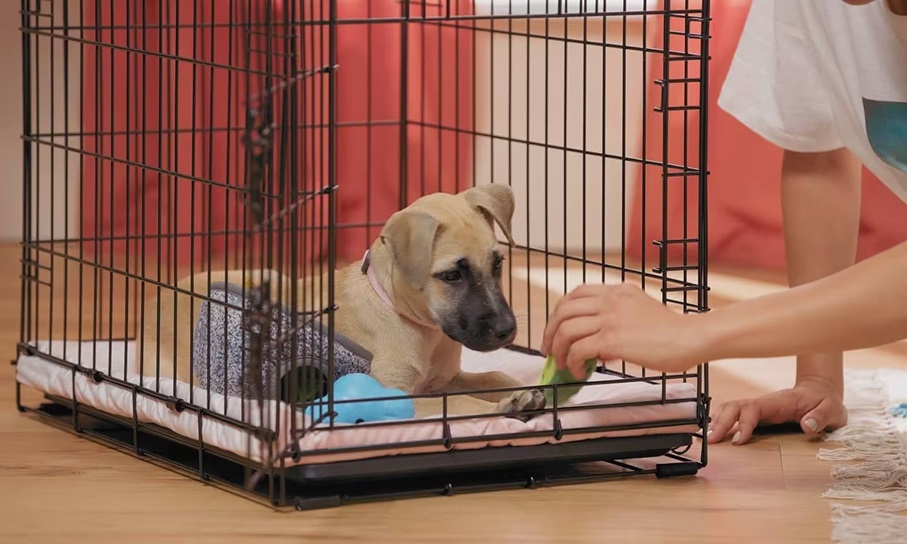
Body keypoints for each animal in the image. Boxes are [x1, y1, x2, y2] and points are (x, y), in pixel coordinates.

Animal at [135, 186, 548, 420]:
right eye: (451, 276)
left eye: (498, 264)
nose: (507, 331)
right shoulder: (403, 394)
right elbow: (459, 405)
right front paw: (502, 407)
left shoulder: (442, 380)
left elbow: (494, 376)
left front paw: (523, 391)